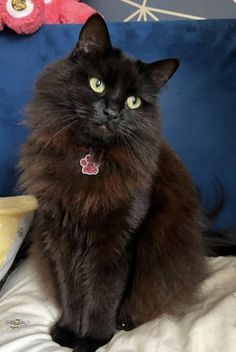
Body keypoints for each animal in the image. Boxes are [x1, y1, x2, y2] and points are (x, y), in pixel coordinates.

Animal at [18, 13, 206, 352]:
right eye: (97, 84)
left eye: (133, 102)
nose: (111, 112)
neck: (91, 155)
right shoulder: (61, 236)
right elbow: (71, 290)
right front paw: (68, 331)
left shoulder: (117, 239)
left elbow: (103, 295)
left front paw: (94, 338)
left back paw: (125, 322)